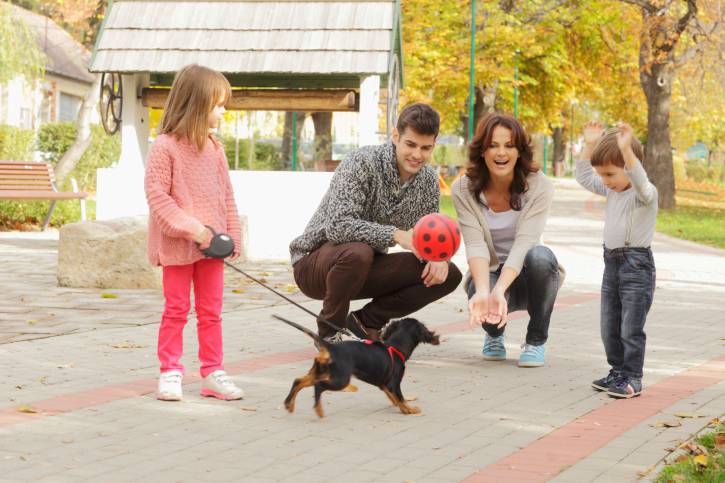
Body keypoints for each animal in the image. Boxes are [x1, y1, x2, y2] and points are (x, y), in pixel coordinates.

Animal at [274, 316, 438, 418]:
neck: (395, 347)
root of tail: (330, 347)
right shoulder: (394, 383)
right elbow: (401, 397)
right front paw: (409, 409)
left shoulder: (384, 384)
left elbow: (394, 397)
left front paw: (401, 407)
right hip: (340, 379)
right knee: (318, 386)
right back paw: (318, 410)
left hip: (320, 372)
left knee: (298, 381)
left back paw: (289, 405)